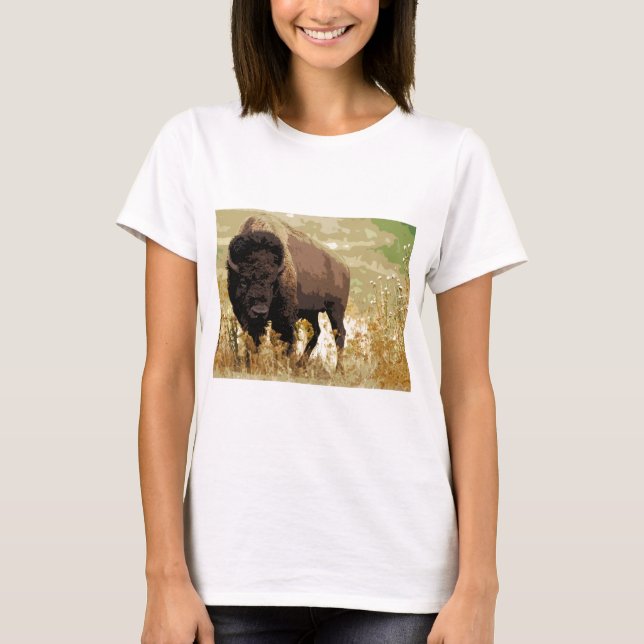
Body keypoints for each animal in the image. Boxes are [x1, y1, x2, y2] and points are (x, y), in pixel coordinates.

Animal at [225, 213, 350, 367]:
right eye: (243, 281)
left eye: (273, 283)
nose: (259, 311)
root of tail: (344, 265)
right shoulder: (244, 315)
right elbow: (254, 340)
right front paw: (251, 365)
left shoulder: (284, 316)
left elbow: (283, 340)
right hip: (312, 313)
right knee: (316, 332)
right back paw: (300, 364)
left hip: (335, 310)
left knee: (339, 334)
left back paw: (338, 369)